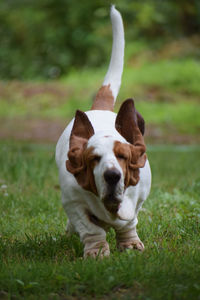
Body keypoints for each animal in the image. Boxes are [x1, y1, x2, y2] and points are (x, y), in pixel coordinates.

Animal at [55, 5, 151, 258]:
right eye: (94, 159)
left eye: (123, 156)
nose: (112, 175)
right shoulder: (73, 200)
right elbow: (90, 227)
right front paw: (97, 253)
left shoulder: (137, 198)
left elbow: (129, 221)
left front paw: (130, 245)